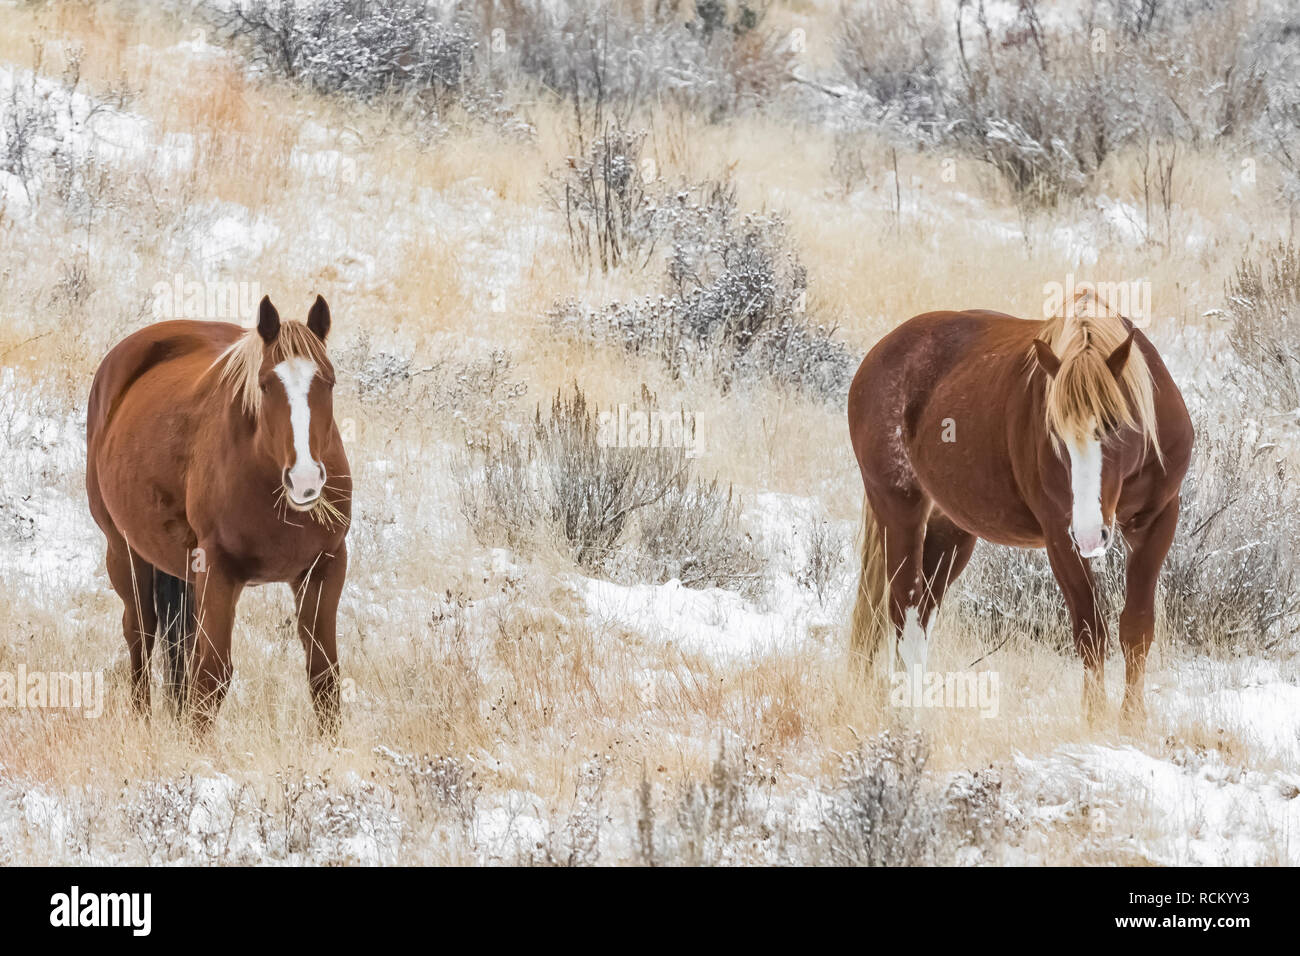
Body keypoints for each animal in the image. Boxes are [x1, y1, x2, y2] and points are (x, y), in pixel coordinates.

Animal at [86, 295, 352, 734]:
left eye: (328, 381)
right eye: (266, 384)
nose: (304, 479)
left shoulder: (324, 567)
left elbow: (324, 676)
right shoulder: (220, 571)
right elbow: (211, 677)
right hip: (124, 550)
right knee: (140, 633)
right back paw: (142, 723)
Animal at [846, 291, 1193, 722]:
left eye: (1115, 424)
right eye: (1054, 432)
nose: (1090, 534)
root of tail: (877, 356)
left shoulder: (1159, 521)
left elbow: (1137, 629)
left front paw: (1131, 722)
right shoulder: (1060, 536)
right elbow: (1091, 632)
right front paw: (1095, 721)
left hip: (950, 530)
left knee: (920, 617)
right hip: (900, 512)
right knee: (905, 618)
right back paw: (910, 719)